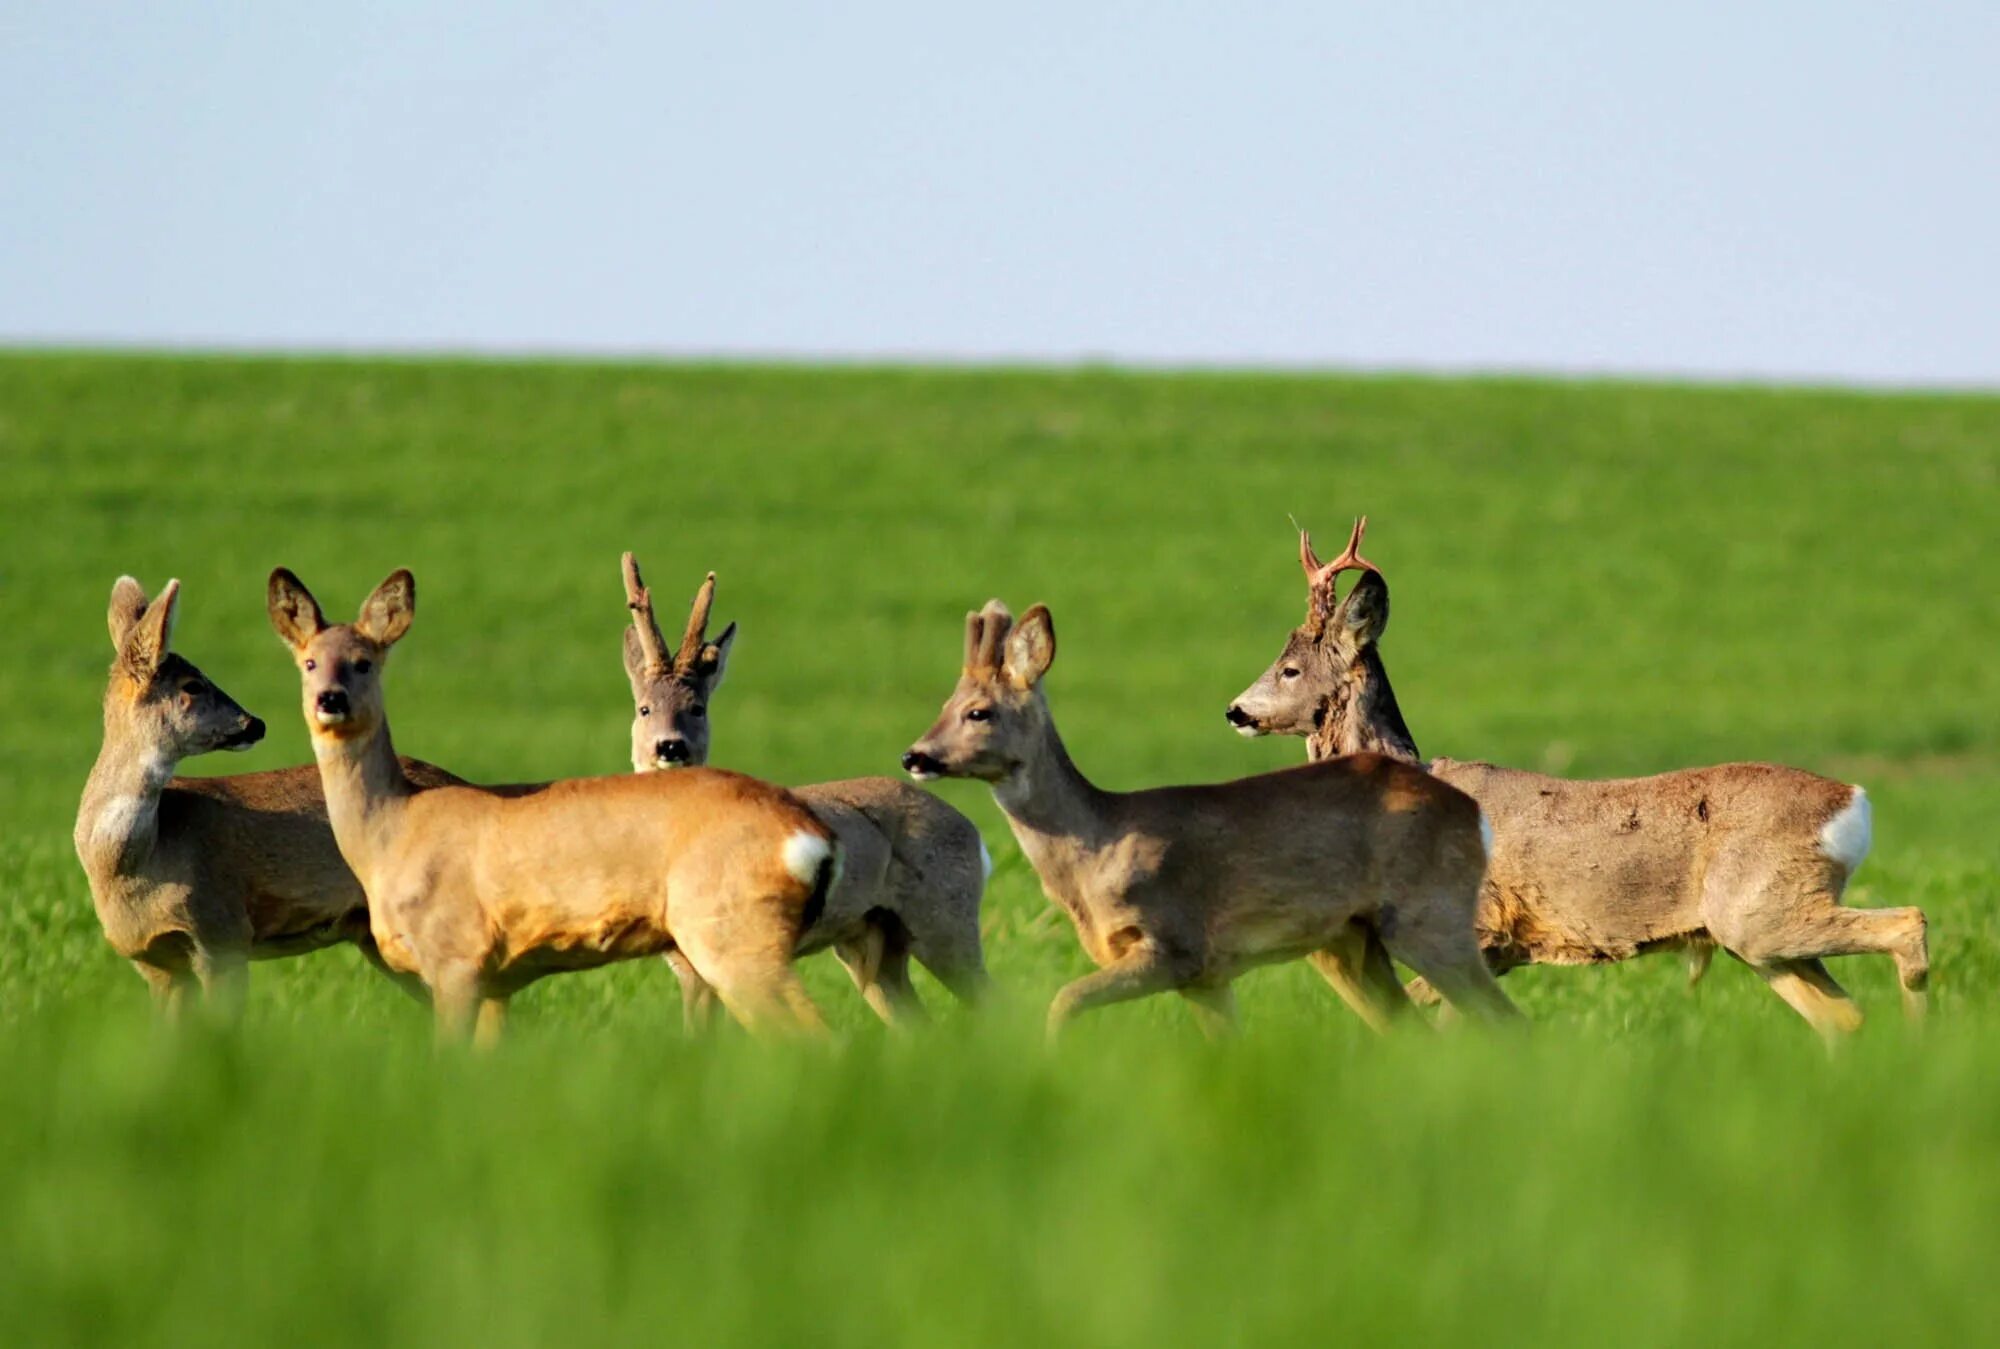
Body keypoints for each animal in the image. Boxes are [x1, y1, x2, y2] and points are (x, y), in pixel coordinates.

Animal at [262, 564, 840, 1040]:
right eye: (308, 662)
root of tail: (809, 836)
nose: (330, 699)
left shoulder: (457, 955)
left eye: (364, 663)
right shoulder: (495, 980)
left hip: (734, 931)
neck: (391, 832)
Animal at [620, 552, 988, 1024]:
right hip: (870, 947)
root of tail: (975, 834)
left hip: (946, 920)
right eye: (644, 708)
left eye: (697, 707)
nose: (670, 745)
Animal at [908, 592, 1512, 1032]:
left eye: (979, 712)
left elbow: (1064, 1000)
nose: (914, 756)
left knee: (1506, 1020)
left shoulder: (1176, 942)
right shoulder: (1208, 976)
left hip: (1429, 915)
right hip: (1351, 940)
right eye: (942, 706)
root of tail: (1473, 814)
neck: (1098, 847)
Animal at [1224, 510, 1928, 1032]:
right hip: (1762, 937)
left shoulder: (1475, 930)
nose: (1235, 711)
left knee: (1909, 925)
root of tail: (1854, 800)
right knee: (1844, 1015)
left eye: (1289, 669)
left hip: (1761, 909)